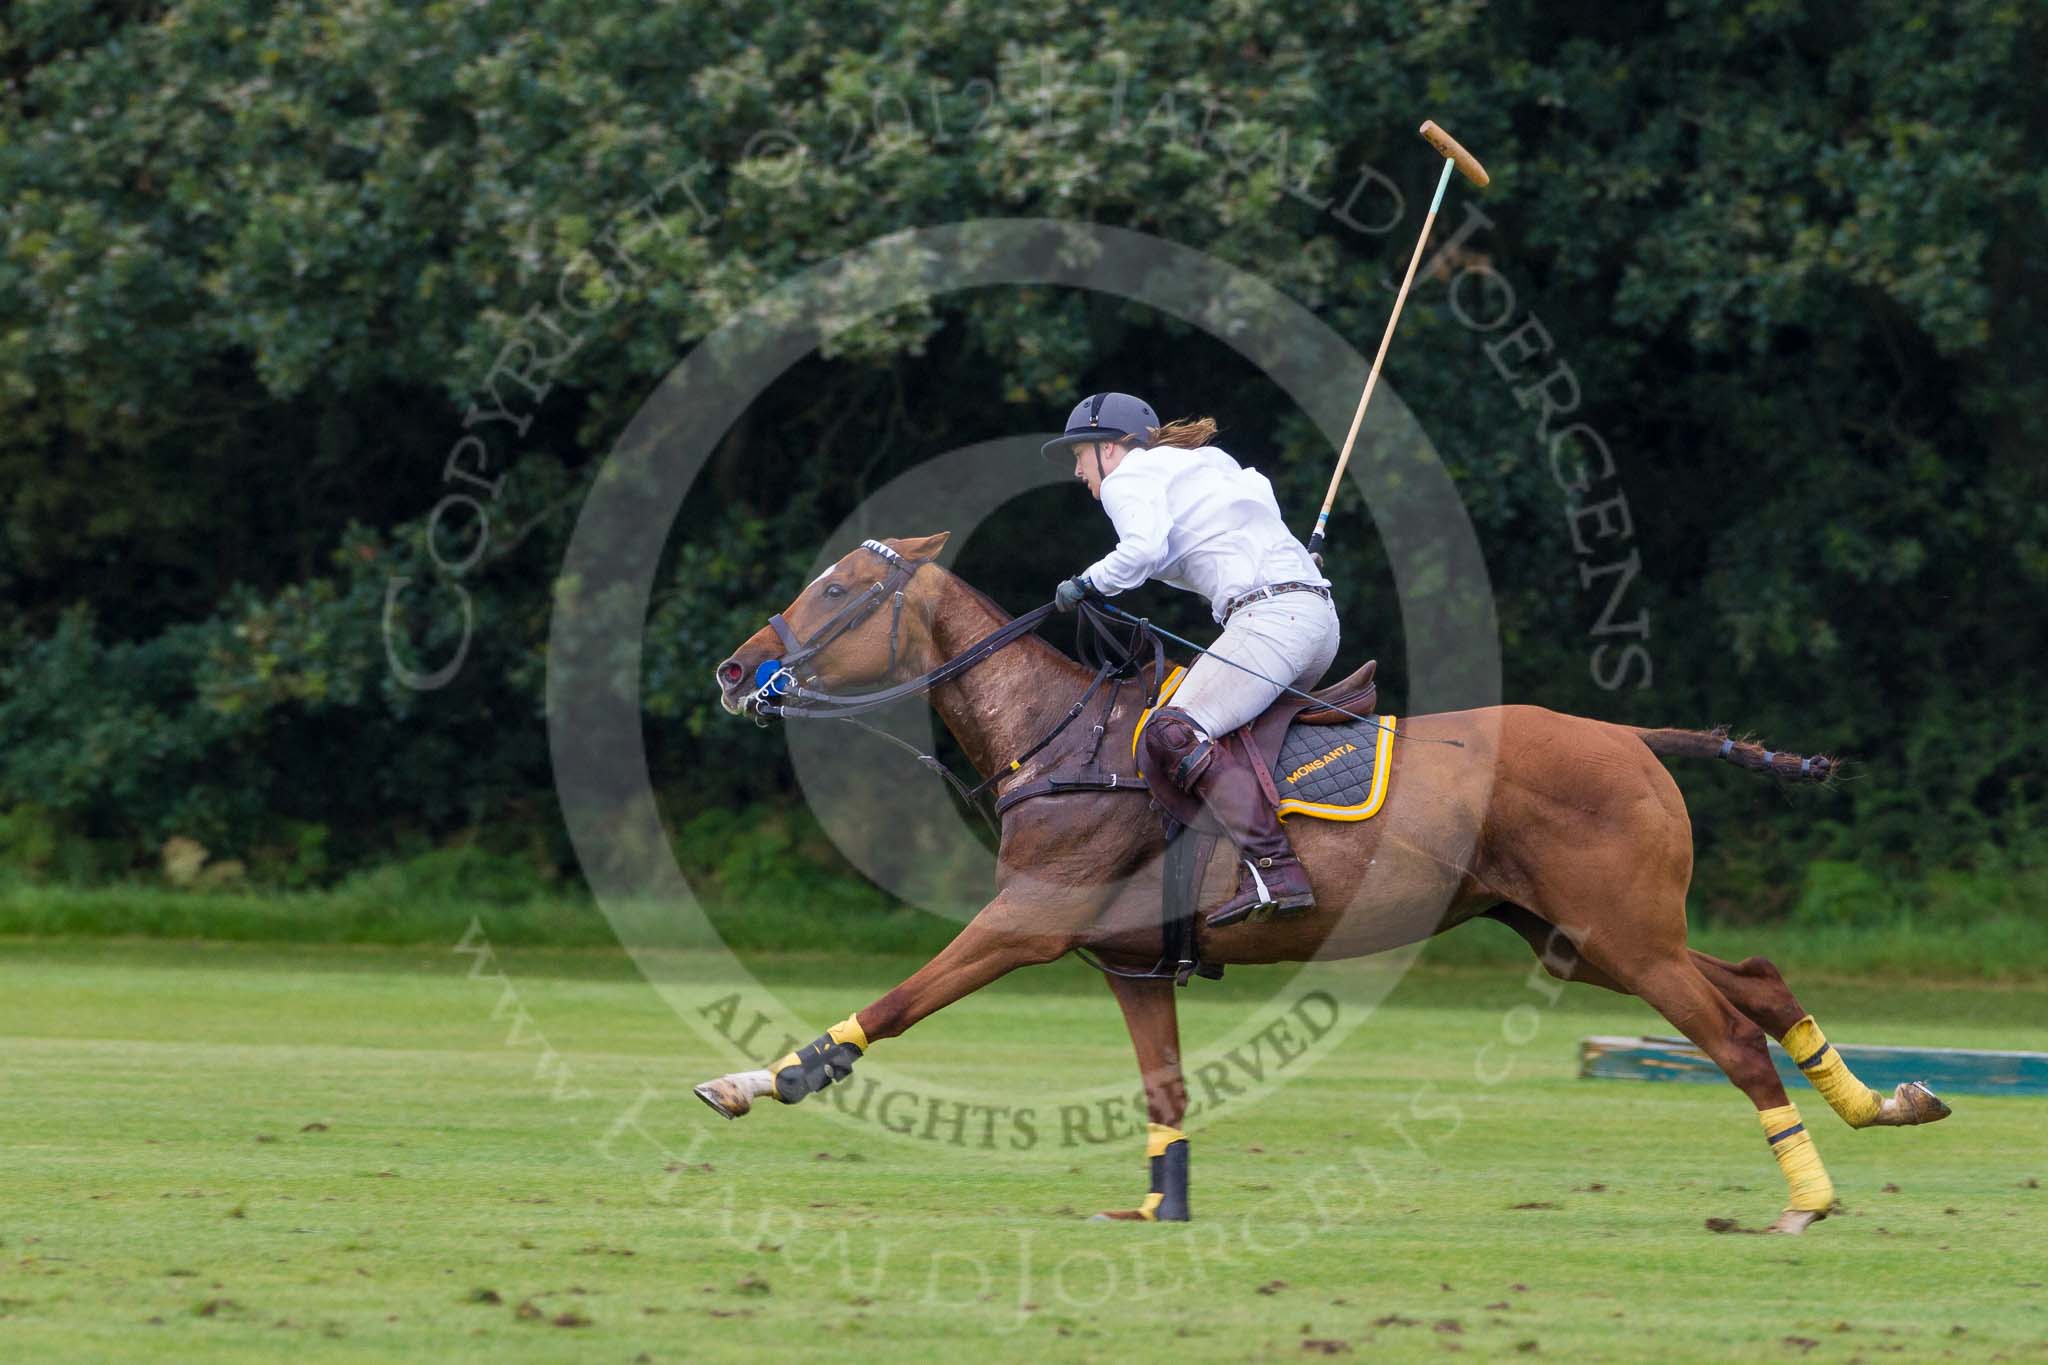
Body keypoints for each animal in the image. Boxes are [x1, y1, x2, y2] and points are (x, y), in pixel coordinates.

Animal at [695, 533, 1949, 1233]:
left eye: (836, 593)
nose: (730, 669)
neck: (1057, 735)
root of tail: (1630, 735)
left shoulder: (1027, 921)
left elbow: (904, 999)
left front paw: (764, 1078)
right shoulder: (1132, 964)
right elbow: (1163, 1093)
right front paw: (1156, 1207)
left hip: (1620, 934)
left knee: (1730, 1035)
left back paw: (1805, 1202)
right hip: (1579, 936)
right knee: (1757, 977)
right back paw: (1887, 1104)